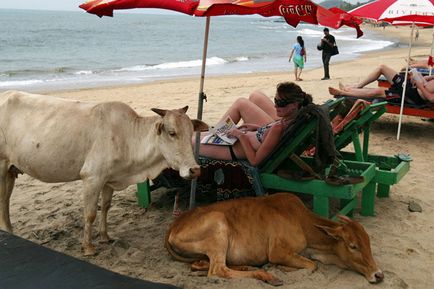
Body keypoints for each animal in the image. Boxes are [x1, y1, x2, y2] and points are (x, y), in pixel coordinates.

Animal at [0, 90, 209, 254]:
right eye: (172, 133)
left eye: (191, 132)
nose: (194, 169)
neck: (128, 137)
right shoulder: (92, 177)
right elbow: (90, 213)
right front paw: (88, 247)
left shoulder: (110, 179)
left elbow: (106, 207)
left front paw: (105, 236)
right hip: (2, 166)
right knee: (3, 200)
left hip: (10, 169)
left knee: (6, 201)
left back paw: (10, 231)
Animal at [165, 192, 384, 284]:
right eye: (353, 246)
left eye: (368, 243)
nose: (379, 274)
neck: (303, 222)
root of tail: (174, 225)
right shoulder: (278, 251)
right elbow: (312, 265)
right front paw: (280, 268)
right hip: (219, 225)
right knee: (218, 270)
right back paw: (266, 275)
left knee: (201, 264)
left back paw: (247, 267)